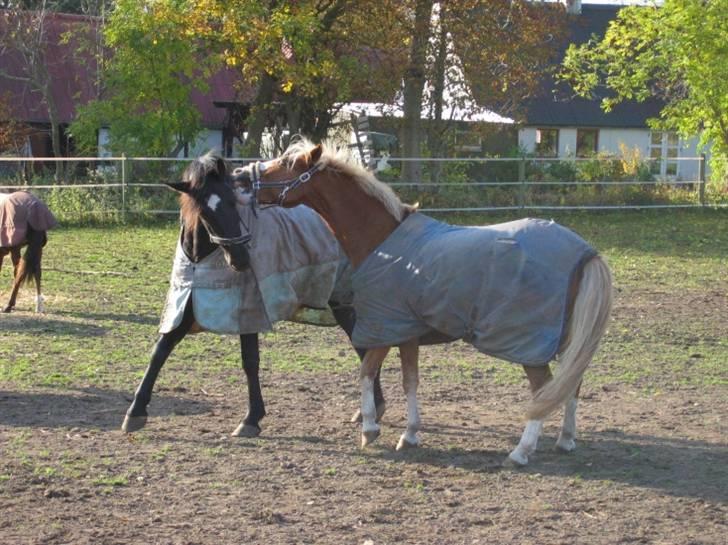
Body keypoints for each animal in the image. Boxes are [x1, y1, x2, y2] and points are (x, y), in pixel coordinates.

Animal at [235, 138, 616, 466]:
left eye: (287, 164)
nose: (240, 177)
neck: (382, 239)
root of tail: (585, 252)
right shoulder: (406, 333)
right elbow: (410, 381)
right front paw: (410, 434)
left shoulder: (386, 327)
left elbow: (366, 372)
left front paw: (370, 429)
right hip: (565, 340)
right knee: (572, 383)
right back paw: (565, 440)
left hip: (529, 345)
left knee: (543, 389)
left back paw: (521, 452)